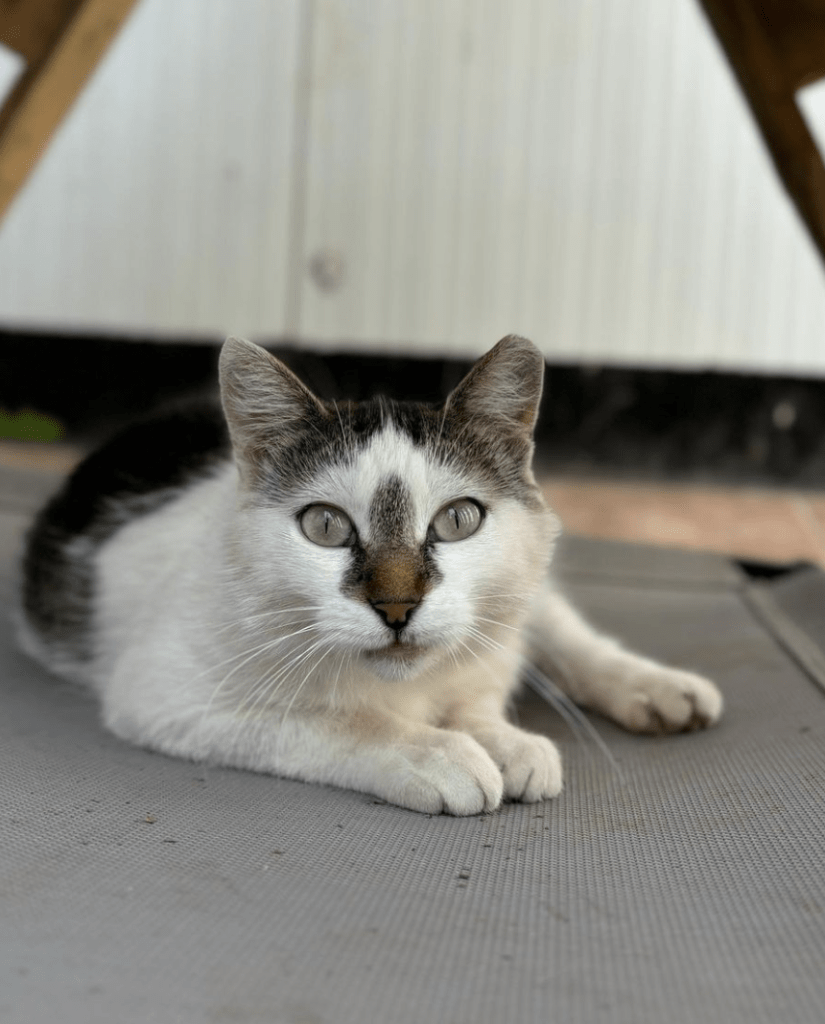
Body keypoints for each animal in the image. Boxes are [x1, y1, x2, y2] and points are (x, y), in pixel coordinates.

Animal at [19, 337, 724, 815]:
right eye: (325, 526)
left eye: (459, 520)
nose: (396, 605)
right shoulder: (165, 694)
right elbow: (330, 720)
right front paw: (438, 750)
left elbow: (480, 691)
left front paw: (501, 737)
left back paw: (659, 687)